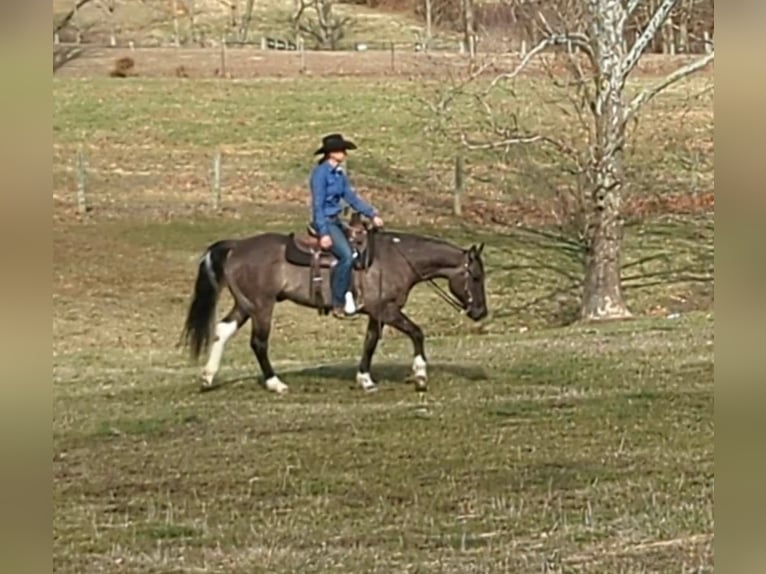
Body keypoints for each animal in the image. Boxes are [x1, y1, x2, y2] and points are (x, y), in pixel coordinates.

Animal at [183, 216, 488, 396]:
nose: (480, 312)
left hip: (245, 305)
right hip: (261, 307)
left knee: (222, 331)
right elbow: (416, 332)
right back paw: (275, 383)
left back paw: (207, 378)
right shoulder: (387, 310)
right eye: (475, 276)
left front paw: (365, 379)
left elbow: (370, 342)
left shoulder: (376, 313)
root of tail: (236, 246)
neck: (396, 259)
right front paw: (421, 376)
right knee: (258, 343)